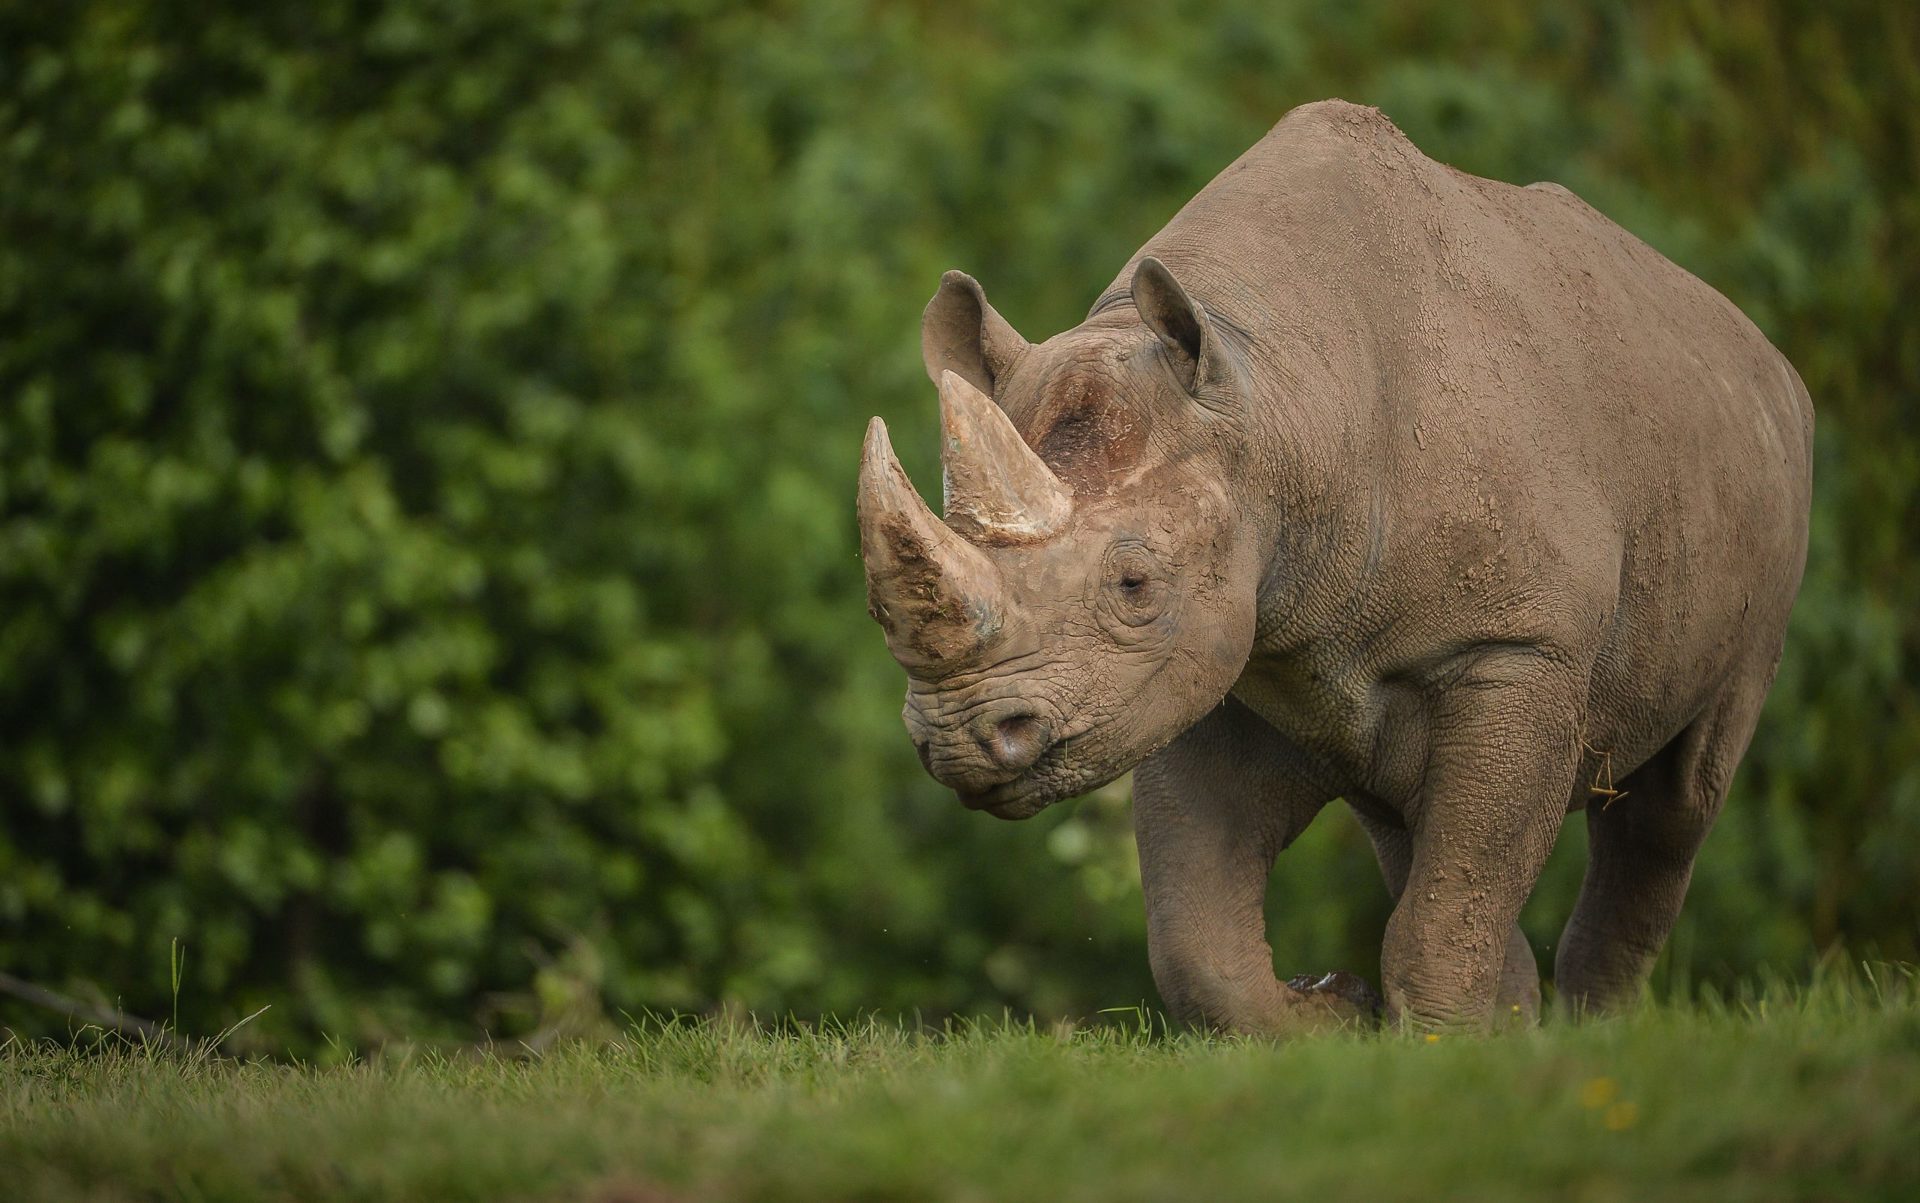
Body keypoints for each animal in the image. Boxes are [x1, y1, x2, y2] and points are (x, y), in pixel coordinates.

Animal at [857, 100, 1813, 1031]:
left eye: (1134, 585)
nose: (956, 739)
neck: (1275, 401)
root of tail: (1767, 354)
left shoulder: (1518, 646)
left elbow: (1456, 898)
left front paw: (1442, 1051)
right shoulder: (1207, 663)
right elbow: (1200, 942)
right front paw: (1341, 1014)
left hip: (1759, 493)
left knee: (1673, 805)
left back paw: (1595, 1035)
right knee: (1405, 820)